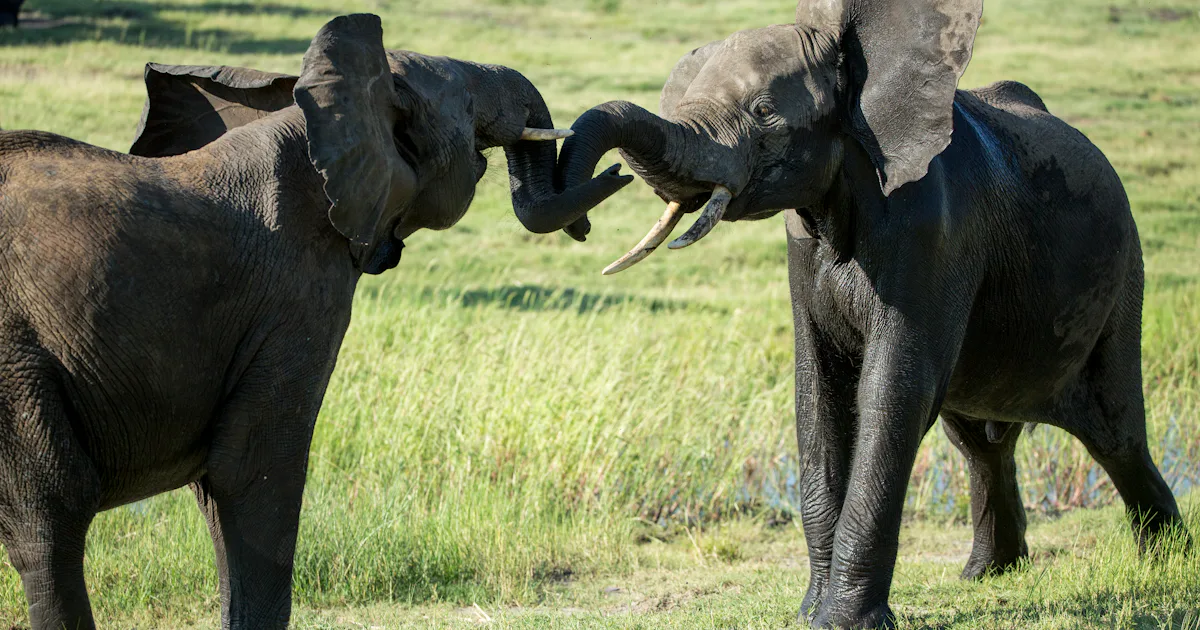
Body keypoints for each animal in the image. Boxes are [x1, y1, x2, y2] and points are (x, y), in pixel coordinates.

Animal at [0, 13, 628, 630]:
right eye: (471, 106)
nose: (613, 181)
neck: (317, 118)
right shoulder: (296, 296)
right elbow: (252, 470)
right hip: (18, 366)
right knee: (52, 520)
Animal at [549, 0, 1188, 627]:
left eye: (763, 112)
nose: (585, 213)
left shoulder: (933, 230)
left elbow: (893, 390)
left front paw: (842, 622)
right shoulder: (802, 247)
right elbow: (819, 390)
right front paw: (811, 613)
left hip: (1123, 275)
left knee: (1115, 433)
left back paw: (1167, 561)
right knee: (980, 442)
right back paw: (989, 574)